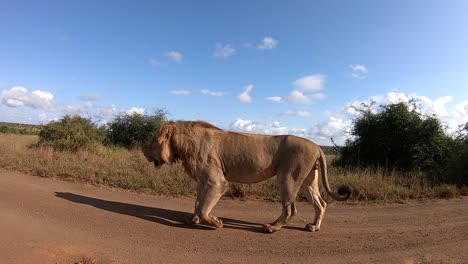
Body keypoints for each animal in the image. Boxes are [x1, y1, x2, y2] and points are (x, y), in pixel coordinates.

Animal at [144, 120, 352, 232]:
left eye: (152, 141)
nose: (144, 153)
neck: (183, 145)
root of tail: (318, 146)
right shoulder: (204, 181)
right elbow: (197, 203)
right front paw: (194, 220)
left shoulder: (217, 182)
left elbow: (203, 207)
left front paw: (216, 222)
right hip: (307, 182)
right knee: (320, 203)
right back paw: (314, 227)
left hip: (288, 178)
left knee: (291, 209)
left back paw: (272, 228)